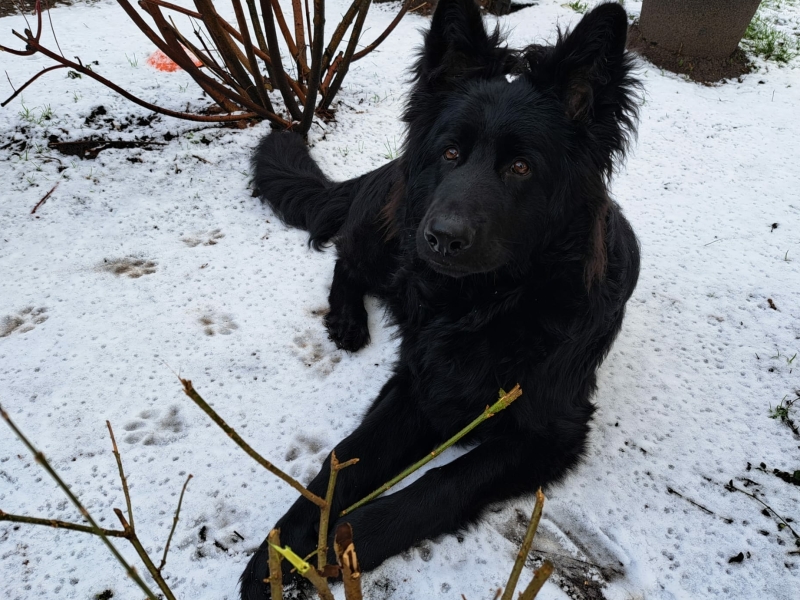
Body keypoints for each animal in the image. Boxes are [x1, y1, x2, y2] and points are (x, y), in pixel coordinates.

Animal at [241, 2, 640, 596]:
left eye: (521, 167)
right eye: (450, 152)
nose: (442, 239)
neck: (484, 305)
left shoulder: (550, 434)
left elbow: (443, 484)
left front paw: (342, 542)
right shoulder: (416, 383)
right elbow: (345, 457)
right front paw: (284, 546)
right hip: (389, 232)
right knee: (345, 258)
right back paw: (347, 319)